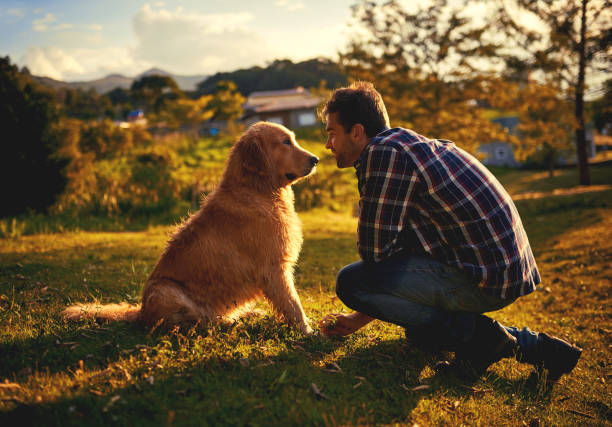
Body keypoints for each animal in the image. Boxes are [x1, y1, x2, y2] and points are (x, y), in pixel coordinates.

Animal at [62, 121, 318, 334]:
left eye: (293, 139)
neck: (258, 189)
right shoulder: (274, 268)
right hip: (164, 290)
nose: (316, 159)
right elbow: (293, 304)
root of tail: (141, 312)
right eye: (285, 142)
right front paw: (308, 332)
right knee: (193, 321)